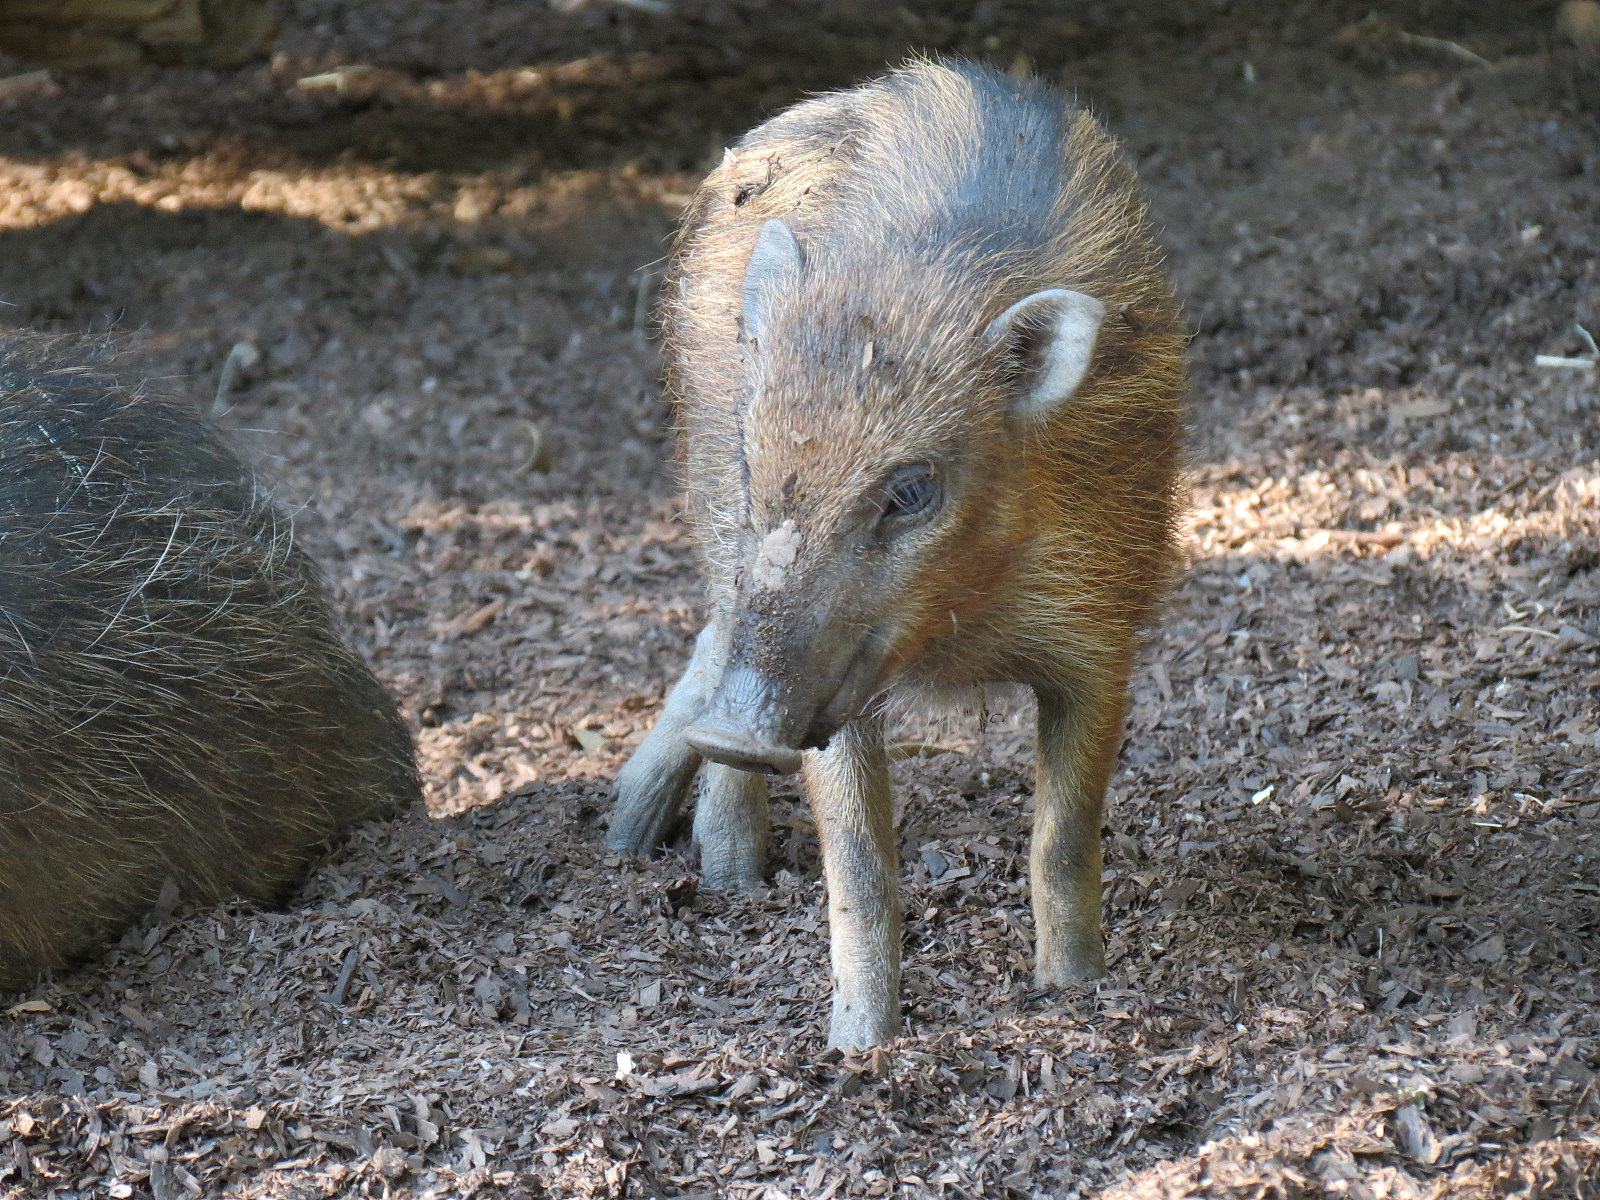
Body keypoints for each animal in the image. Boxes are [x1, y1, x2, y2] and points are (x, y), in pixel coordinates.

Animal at [608, 58, 1184, 1048]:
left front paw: (1076, 994)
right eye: (758, 460)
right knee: (716, 636)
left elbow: (1064, 836)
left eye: (911, 490)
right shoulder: (825, 679)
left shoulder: (1103, 636)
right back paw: (705, 870)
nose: (740, 726)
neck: (960, 630)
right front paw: (858, 1046)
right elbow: (858, 860)